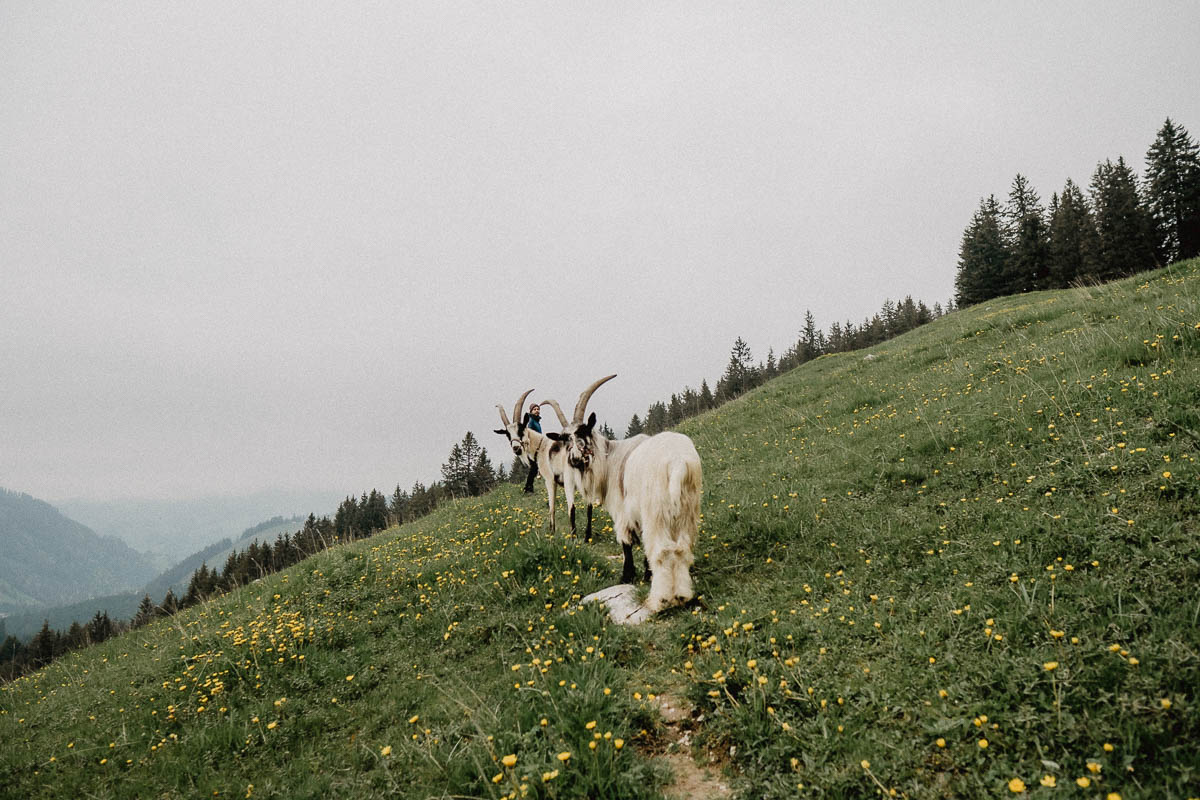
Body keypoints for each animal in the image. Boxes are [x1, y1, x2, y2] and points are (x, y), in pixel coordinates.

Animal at [492, 391, 595, 542]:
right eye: (507, 434)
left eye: (521, 429)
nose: (516, 448)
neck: (542, 446)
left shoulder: (550, 480)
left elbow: (552, 507)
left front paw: (551, 532)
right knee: (589, 506)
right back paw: (588, 537)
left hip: (571, 481)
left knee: (572, 508)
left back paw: (573, 537)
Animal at [544, 376, 700, 614]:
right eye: (564, 439)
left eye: (583, 431)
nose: (575, 459)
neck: (611, 460)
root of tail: (677, 463)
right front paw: (645, 574)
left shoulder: (623, 512)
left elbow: (626, 543)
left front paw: (628, 576)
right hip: (686, 510)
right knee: (682, 548)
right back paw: (682, 595)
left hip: (657, 513)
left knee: (662, 551)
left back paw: (661, 600)